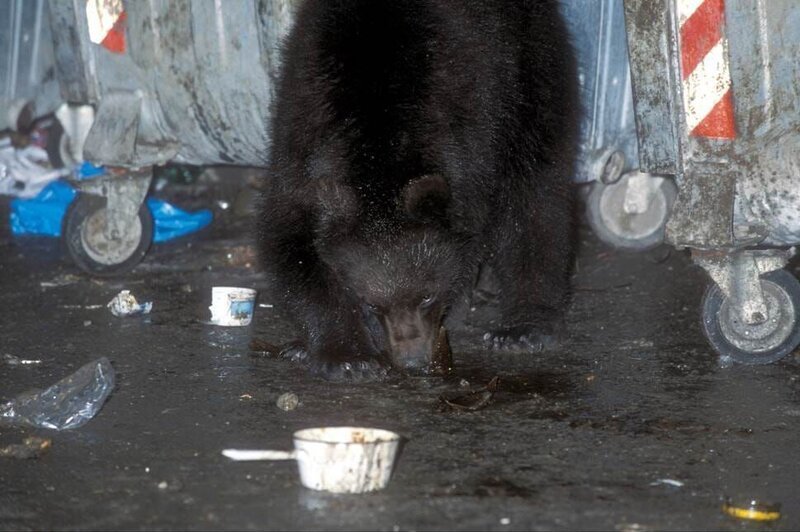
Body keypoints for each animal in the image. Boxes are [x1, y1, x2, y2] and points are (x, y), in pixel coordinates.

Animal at [258, 0, 579, 380]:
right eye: (371, 302)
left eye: (426, 296)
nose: (412, 361)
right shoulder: (300, 143)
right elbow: (291, 243)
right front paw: (348, 355)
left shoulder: (475, 132)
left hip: (528, 65)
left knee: (534, 185)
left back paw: (523, 326)